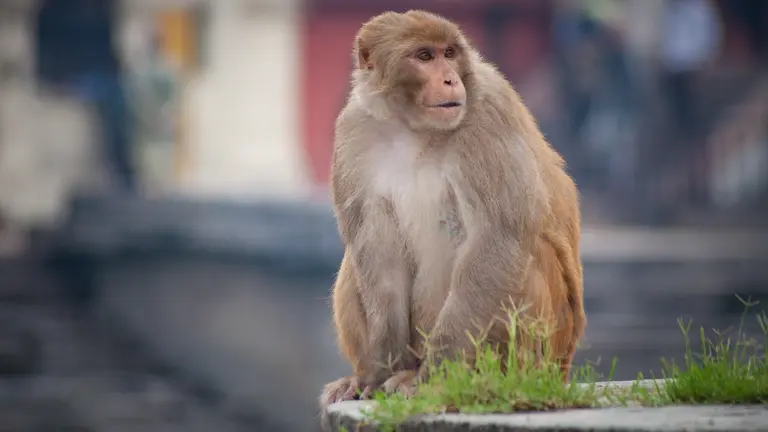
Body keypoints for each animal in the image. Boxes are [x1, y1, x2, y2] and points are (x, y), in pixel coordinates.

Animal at [319, 9, 586, 413]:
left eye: (449, 53)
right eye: (424, 56)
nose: (450, 79)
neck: (413, 127)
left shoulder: (491, 110)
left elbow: (498, 236)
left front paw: (434, 379)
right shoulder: (355, 129)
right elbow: (378, 256)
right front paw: (377, 373)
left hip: (548, 352)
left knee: (527, 254)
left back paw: (484, 380)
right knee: (356, 262)